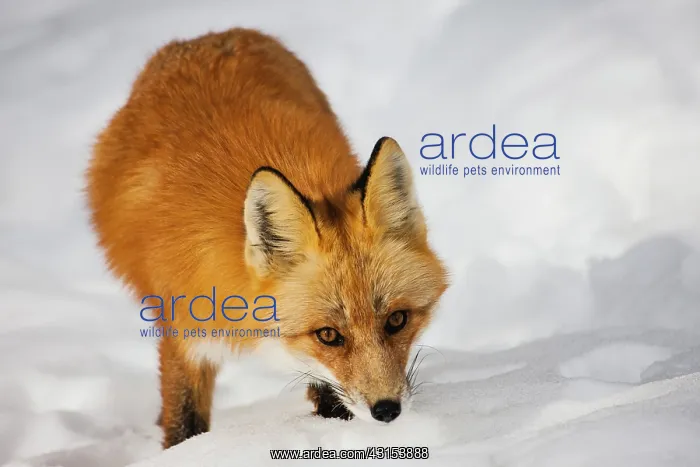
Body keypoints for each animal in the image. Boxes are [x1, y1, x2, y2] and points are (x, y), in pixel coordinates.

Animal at [86, 27, 448, 449]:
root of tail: (206, 36)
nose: (387, 411)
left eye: (397, 320)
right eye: (328, 335)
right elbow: (184, 424)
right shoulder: (184, 333)